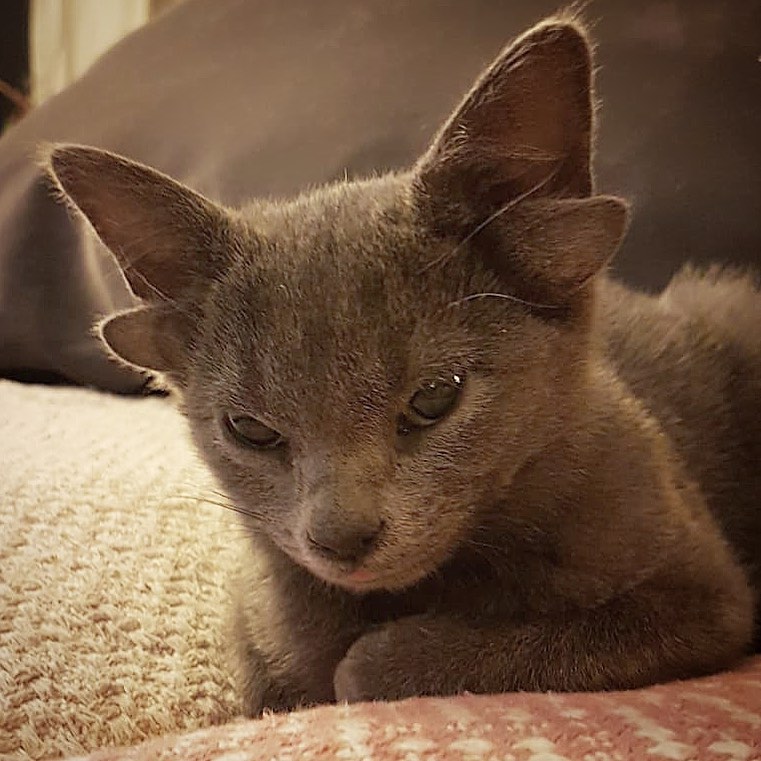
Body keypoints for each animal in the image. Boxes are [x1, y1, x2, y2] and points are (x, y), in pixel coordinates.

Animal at [46, 17, 756, 712]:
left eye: (435, 397)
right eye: (250, 430)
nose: (340, 537)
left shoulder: (706, 598)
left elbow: (378, 666)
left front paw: (371, 661)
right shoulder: (257, 614)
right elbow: (273, 664)